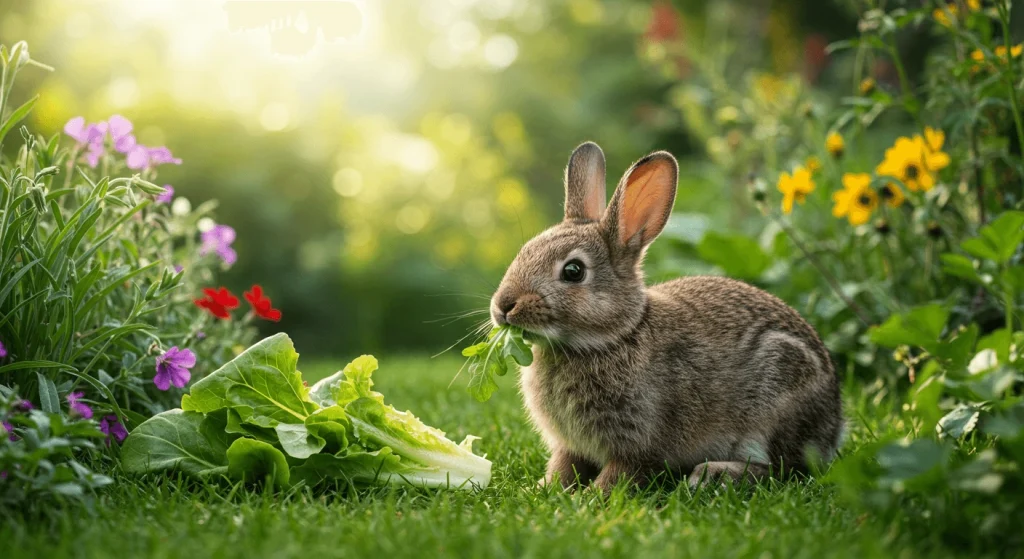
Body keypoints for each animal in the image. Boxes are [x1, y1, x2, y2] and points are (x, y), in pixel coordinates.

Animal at [491, 141, 843, 489]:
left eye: (573, 271)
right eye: (525, 250)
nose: (503, 306)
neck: (614, 336)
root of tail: (836, 424)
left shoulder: (639, 442)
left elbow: (619, 474)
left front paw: (588, 498)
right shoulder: (571, 447)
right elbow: (563, 468)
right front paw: (542, 489)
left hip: (777, 397)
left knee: (782, 469)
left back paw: (712, 474)